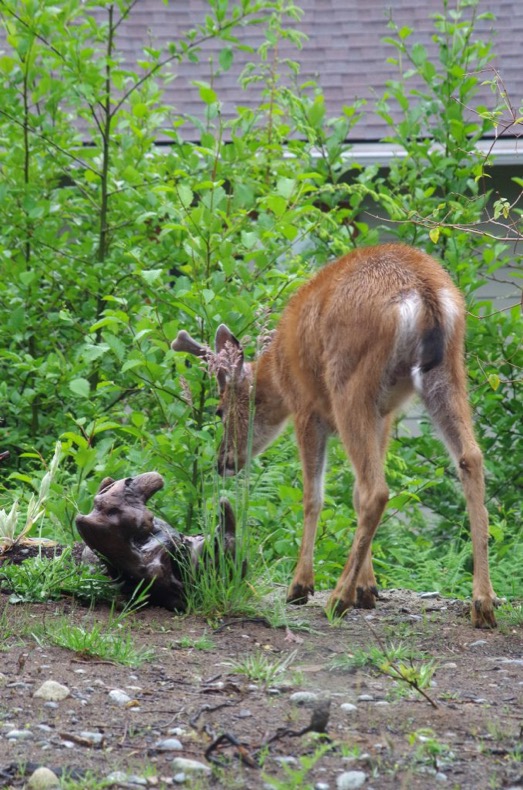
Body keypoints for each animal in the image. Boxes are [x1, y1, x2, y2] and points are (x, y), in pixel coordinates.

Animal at [172, 243, 498, 629]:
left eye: (219, 411)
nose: (223, 461)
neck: (278, 372)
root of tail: (424, 291)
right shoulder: (385, 414)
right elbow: (353, 492)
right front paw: (368, 589)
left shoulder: (306, 409)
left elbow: (313, 496)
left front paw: (303, 585)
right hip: (446, 372)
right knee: (470, 457)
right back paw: (483, 604)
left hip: (349, 379)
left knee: (376, 490)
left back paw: (337, 599)